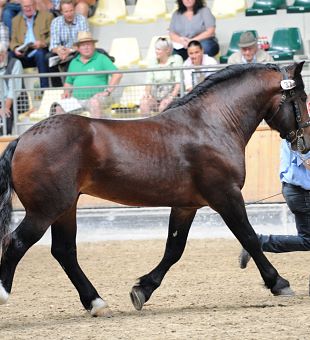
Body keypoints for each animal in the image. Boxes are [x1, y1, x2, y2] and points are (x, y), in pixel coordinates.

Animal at [0, 61, 310, 316]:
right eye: (302, 97)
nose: (304, 142)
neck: (211, 124)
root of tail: (22, 139)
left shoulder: (186, 205)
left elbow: (174, 249)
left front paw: (142, 290)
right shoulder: (227, 196)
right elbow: (249, 238)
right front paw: (279, 282)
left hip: (65, 208)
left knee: (64, 251)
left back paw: (95, 302)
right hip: (45, 210)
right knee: (16, 243)